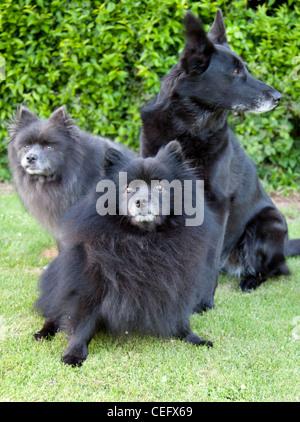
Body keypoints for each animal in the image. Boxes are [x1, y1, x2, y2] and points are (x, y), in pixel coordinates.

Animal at [34, 141, 223, 366]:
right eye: (128, 189)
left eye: (160, 188)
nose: (141, 201)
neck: (143, 239)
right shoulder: (88, 288)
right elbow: (82, 324)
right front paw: (74, 353)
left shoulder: (176, 284)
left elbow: (180, 318)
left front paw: (192, 337)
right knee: (53, 314)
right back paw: (43, 333)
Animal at [140, 10, 300, 294]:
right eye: (235, 72)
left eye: (244, 68)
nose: (278, 97)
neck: (188, 129)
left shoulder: (216, 204)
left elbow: (208, 255)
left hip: (269, 222)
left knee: (276, 270)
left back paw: (251, 280)